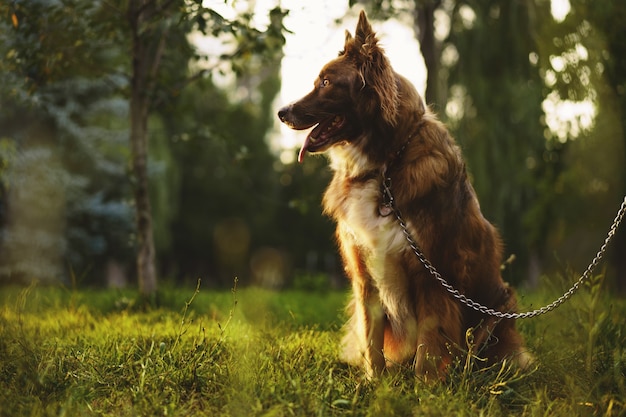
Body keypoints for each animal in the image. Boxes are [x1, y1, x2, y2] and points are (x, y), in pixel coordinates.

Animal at [276, 10, 528, 380]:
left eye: (326, 82)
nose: (282, 112)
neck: (386, 165)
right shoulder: (364, 275)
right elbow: (372, 338)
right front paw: (374, 382)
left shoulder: (432, 276)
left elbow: (428, 341)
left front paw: (425, 385)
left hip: (502, 304)